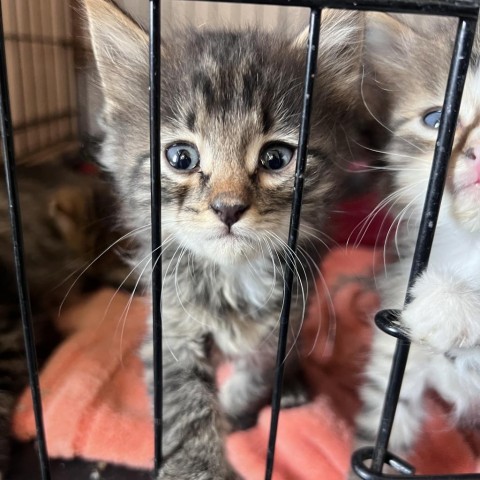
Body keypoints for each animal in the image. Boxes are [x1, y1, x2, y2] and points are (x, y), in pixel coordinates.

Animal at [84, 1, 366, 478]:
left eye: (276, 158)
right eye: (181, 157)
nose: (229, 208)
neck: (232, 278)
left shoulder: (284, 318)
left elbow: (256, 371)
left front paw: (237, 411)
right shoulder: (170, 328)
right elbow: (184, 410)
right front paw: (199, 464)